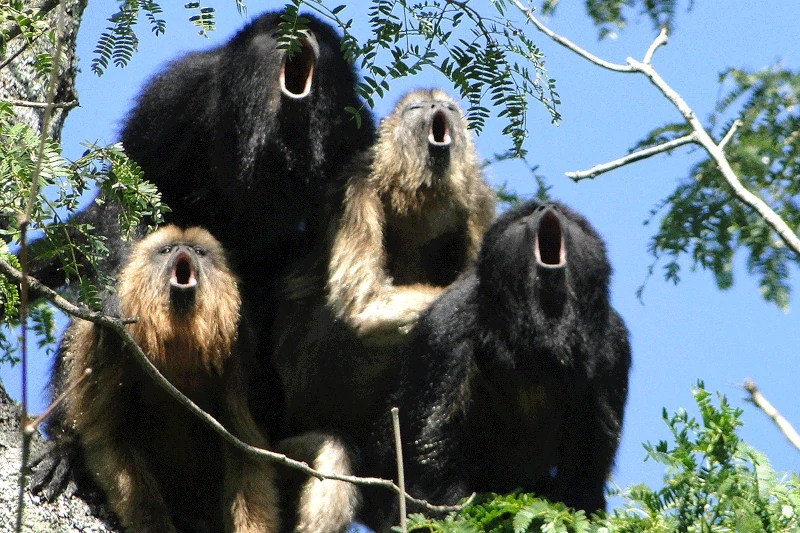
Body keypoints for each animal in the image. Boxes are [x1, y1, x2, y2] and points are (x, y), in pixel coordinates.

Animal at [40, 226, 279, 532]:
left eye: (199, 251)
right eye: (166, 250)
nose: (183, 250)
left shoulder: (237, 352)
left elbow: (248, 449)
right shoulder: (114, 333)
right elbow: (108, 435)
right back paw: (64, 449)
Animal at [270, 88, 495, 439]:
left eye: (449, 108)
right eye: (416, 108)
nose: (437, 106)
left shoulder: (480, 204)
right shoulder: (356, 186)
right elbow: (363, 302)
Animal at [359, 200, 632, 530]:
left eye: (568, 218)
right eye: (526, 215)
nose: (547, 206)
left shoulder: (614, 345)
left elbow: (584, 475)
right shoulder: (448, 324)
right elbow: (432, 460)